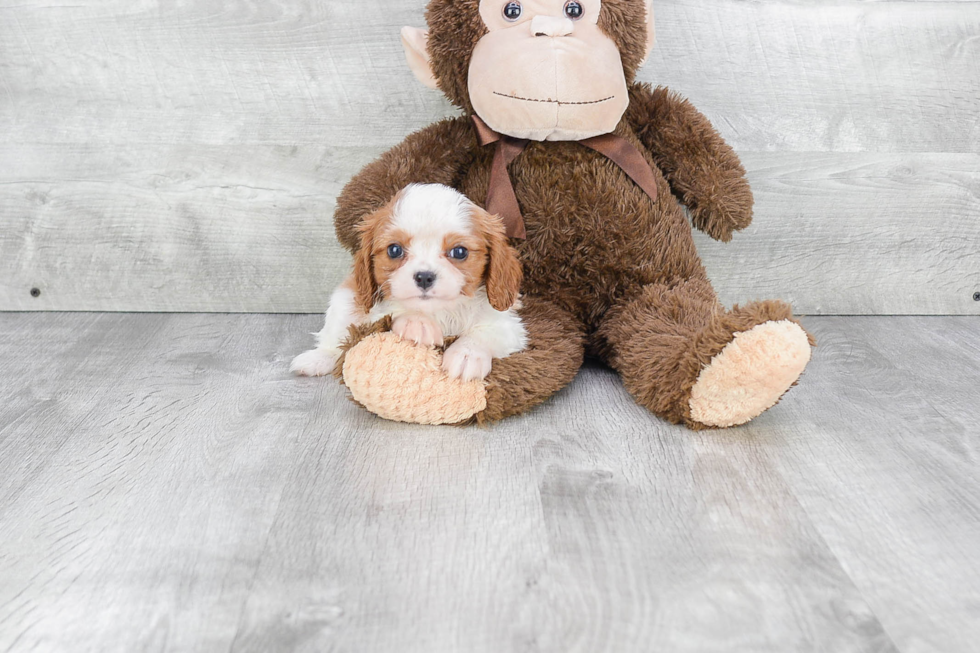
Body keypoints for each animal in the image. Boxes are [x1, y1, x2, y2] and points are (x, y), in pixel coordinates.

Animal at [290, 183, 528, 380]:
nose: (424, 276)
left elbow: (486, 333)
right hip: (345, 300)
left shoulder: (507, 325)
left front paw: (466, 355)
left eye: (459, 252)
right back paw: (317, 358)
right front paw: (417, 322)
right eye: (394, 250)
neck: (440, 311)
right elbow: (392, 311)